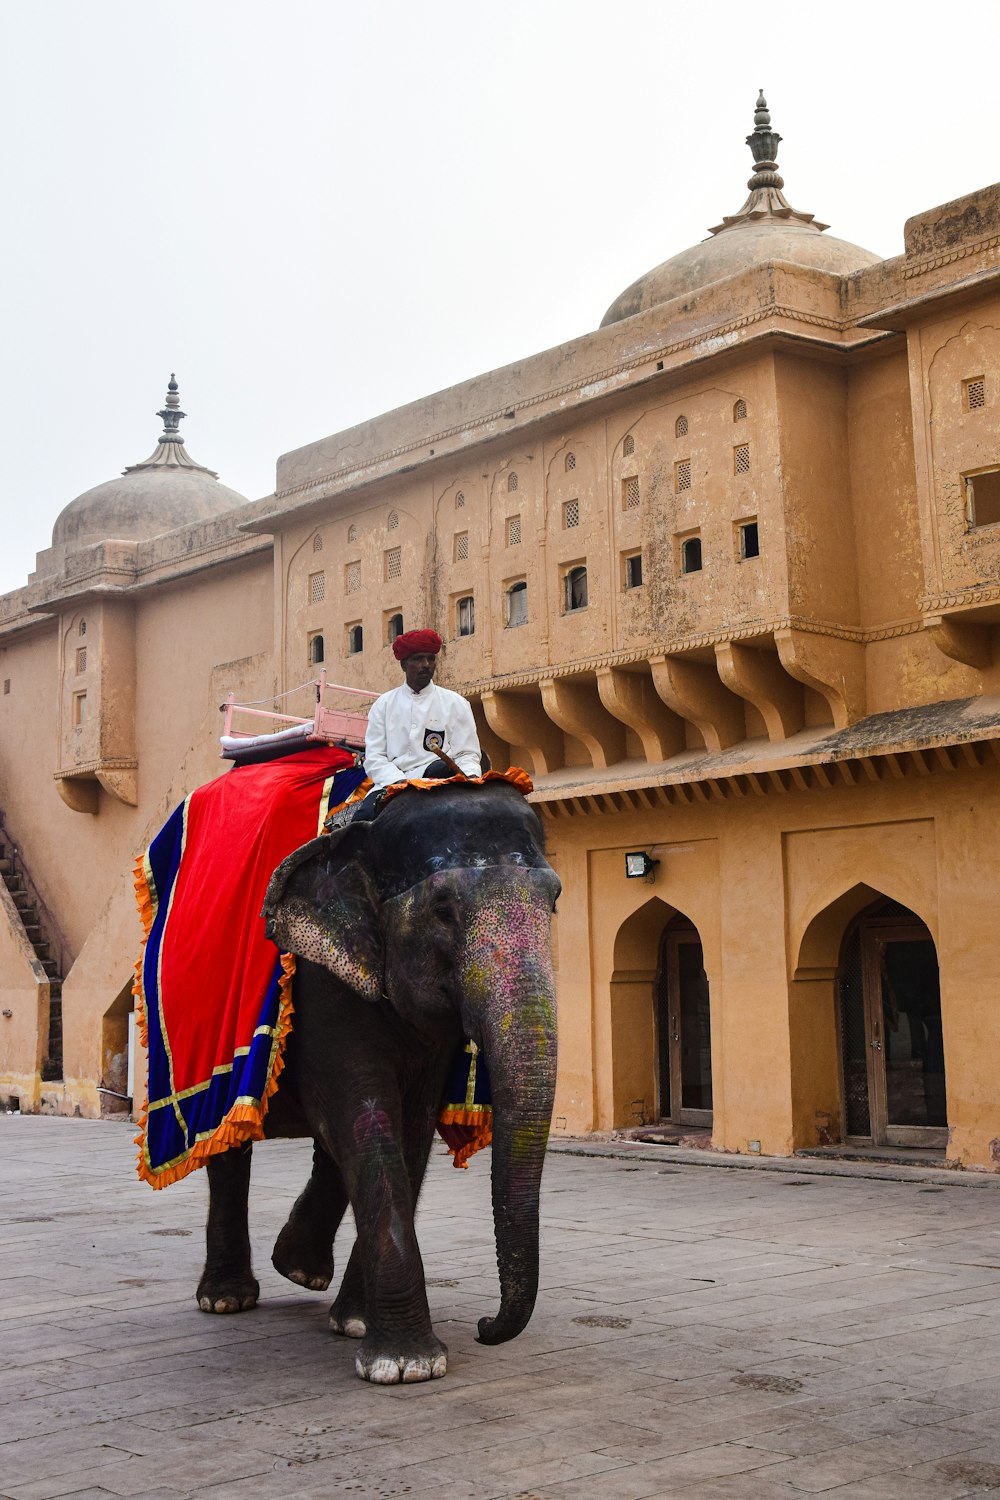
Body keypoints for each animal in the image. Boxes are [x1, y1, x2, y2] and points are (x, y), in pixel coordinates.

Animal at [191, 780, 560, 1386]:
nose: (485, 1326)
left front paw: (367, 1331)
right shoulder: (322, 981)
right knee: (230, 1145)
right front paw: (407, 1364)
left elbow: (409, 1128)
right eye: (442, 910)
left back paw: (302, 1271)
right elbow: (365, 1113)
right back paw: (226, 1298)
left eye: (554, 899)